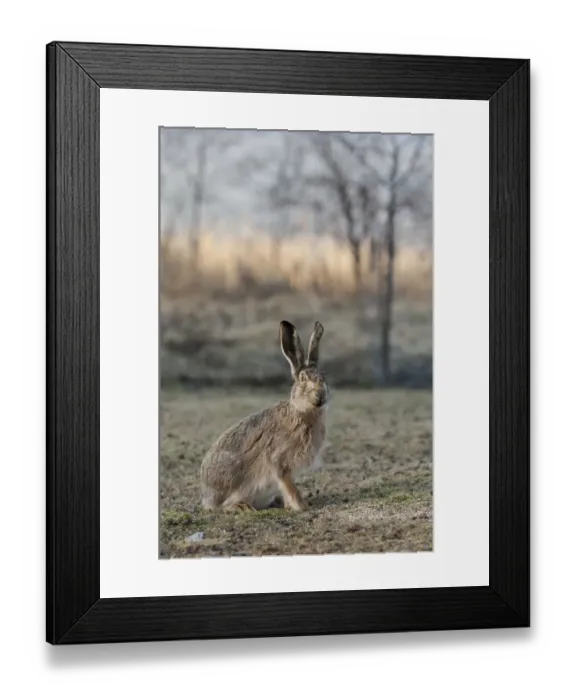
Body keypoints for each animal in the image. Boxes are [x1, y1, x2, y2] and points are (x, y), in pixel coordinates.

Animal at [200, 320, 330, 513]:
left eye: (324, 377)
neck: (302, 412)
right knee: (224, 505)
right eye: (303, 378)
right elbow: (289, 487)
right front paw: (302, 506)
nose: (320, 395)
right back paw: (242, 507)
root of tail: (207, 498)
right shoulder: (279, 461)